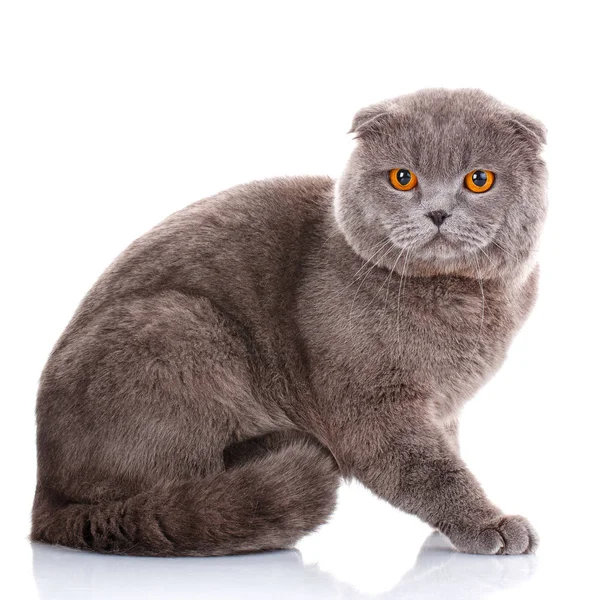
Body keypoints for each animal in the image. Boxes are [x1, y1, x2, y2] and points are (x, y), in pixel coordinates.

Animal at [31, 86, 548, 556]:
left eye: (479, 179)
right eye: (402, 178)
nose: (438, 212)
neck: (465, 304)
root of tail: (43, 491)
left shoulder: (444, 406)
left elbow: (450, 452)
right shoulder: (373, 405)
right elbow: (431, 470)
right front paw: (490, 524)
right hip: (184, 325)